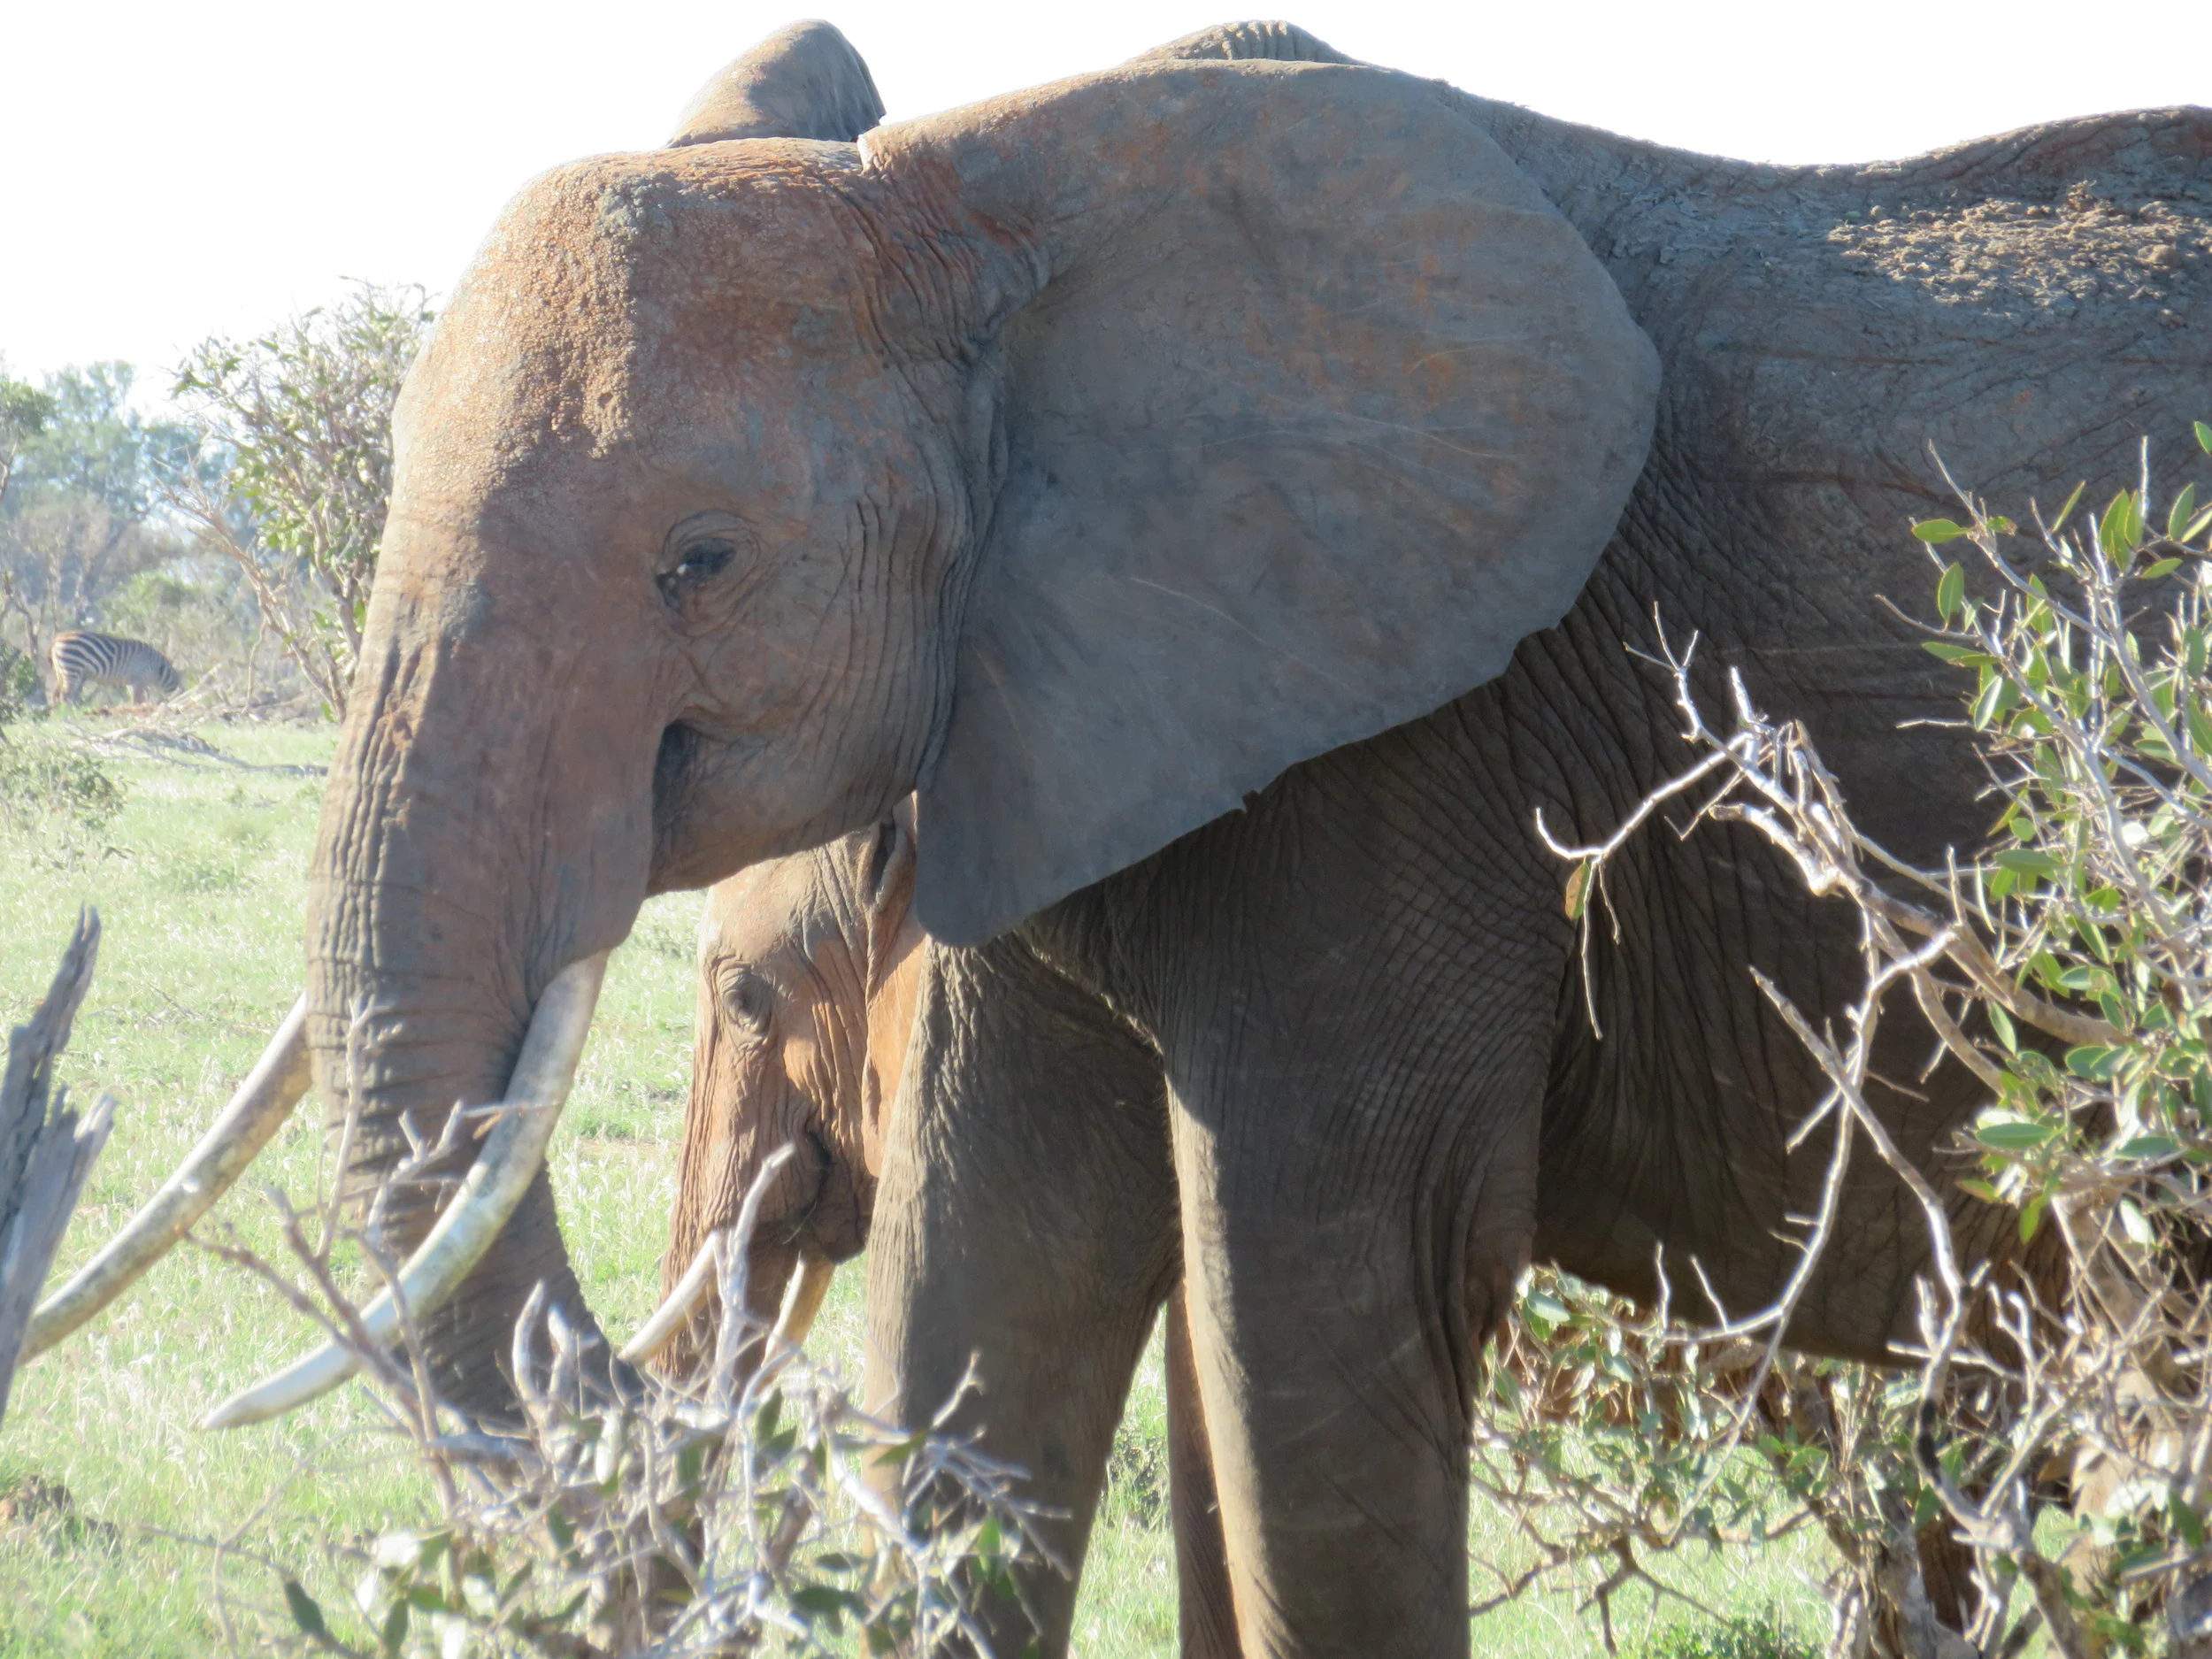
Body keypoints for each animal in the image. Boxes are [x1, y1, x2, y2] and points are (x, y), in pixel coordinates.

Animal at [34, 13, 2210, 1658]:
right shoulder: (1058, 713)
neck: (984, 202)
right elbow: (988, 1300)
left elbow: (1317, 1333)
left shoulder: (1398, 745)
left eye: (698, 560)